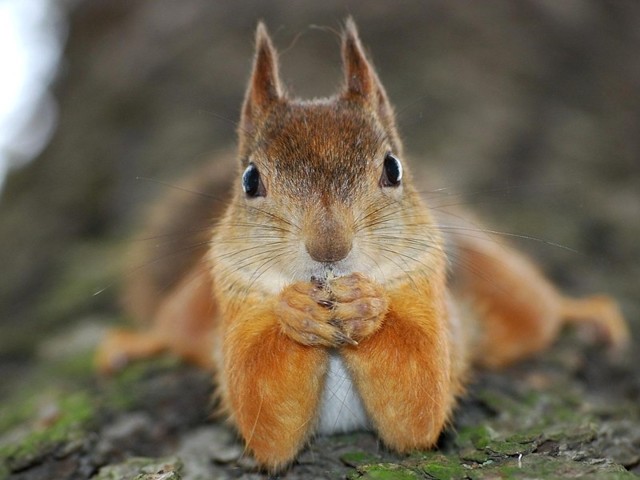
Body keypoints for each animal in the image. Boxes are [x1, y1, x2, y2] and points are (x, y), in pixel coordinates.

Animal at [96, 18, 629, 472]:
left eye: (393, 168)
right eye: (249, 180)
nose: (329, 247)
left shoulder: (429, 293)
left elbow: (420, 400)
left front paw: (366, 306)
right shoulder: (235, 298)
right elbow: (263, 415)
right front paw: (295, 311)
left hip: (497, 282)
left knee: (538, 313)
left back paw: (585, 311)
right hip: (194, 305)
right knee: (174, 328)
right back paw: (134, 344)